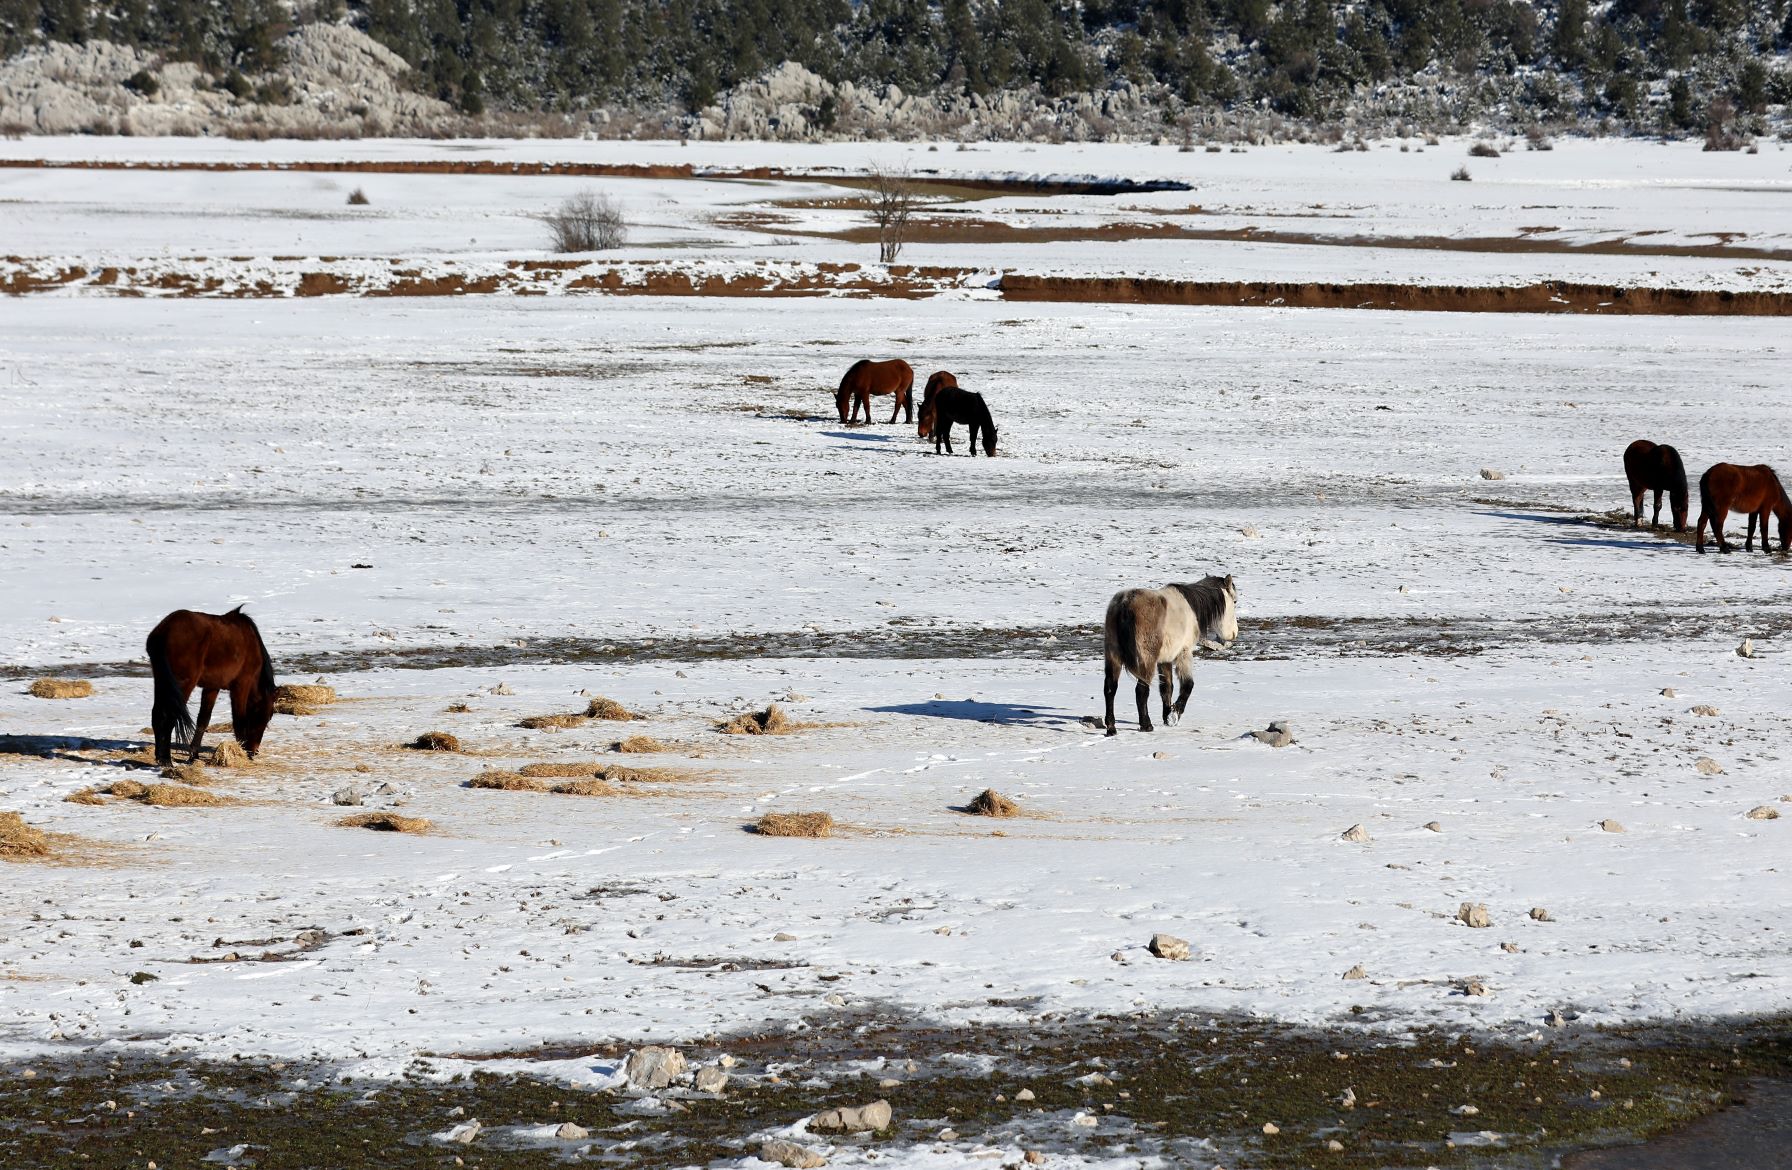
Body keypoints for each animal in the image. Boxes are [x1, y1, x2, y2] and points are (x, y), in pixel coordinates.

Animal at [1096, 573, 1240, 734]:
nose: (1234, 633)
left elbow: (1167, 688)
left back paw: (1111, 728)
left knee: (1110, 689)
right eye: (1234, 601)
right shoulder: (1184, 654)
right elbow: (1188, 685)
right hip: (1146, 660)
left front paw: (1167, 717)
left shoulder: (1165, 660)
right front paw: (1175, 713)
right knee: (1141, 690)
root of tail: (1126, 603)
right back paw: (1146, 725)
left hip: (1113, 656)